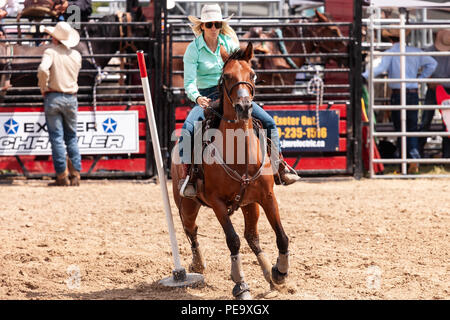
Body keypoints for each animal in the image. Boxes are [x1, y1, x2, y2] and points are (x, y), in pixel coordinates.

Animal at [171, 42, 290, 300]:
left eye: (252, 74)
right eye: (226, 76)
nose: (244, 107)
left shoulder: (267, 197)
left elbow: (281, 236)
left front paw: (280, 272)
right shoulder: (217, 203)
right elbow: (232, 240)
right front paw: (241, 285)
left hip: (250, 204)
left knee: (252, 237)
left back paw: (270, 275)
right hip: (187, 205)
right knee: (191, 229)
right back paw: (197, 264)